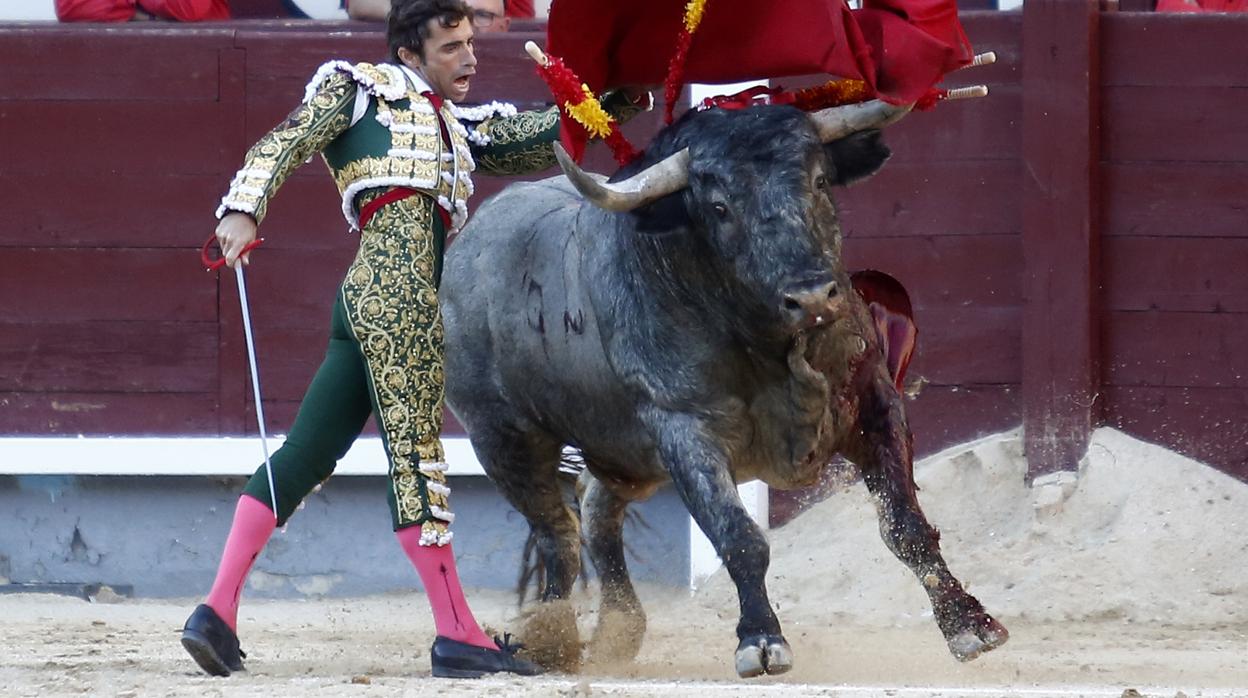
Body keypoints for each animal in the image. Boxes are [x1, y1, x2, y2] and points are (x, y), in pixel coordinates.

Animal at [444, 101, 1008, 679]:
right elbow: (739, 537)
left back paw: (617, 631)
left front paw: (968, 623)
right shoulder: (685, 429)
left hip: (625, 454)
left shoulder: (874, 401)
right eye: (718, 207)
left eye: (819, 180)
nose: (811, 297)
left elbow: (905, 524)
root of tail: (469, 240)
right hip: (504, 440)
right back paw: (551, 641)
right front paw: (760, 639)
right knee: (557, 531)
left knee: (597, 509)